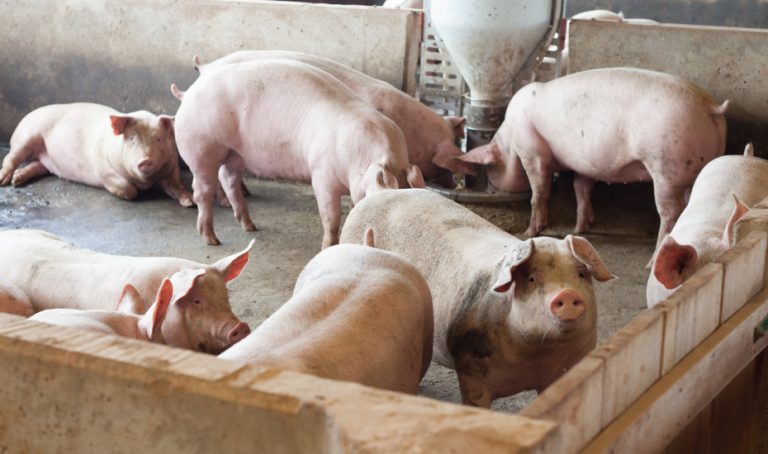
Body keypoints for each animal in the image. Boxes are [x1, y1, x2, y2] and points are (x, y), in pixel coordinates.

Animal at [0, 103, 193, 207]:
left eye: (158, 139)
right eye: (131, 138)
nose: (145, 160)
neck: (145, 181)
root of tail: (28, 115)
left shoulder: (172, 166)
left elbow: (176, 185)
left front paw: (189, 201)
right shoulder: (103, 167)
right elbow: (127, 187)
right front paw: (133, 193)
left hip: (45, 159)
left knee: (38, 165)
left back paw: (17, 180)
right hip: (26, 136)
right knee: (11, 157)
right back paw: (5, 181)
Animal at [172, 59, 425, 248]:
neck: (362, 158)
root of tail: (188, 93)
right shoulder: (321, 174)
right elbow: (331, 217)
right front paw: (327, 247)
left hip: (233, 154)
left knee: (229, 180)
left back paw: (250, 226)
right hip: (201, 149)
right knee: (202, 192)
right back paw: (211, 239)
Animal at [339, 188, 615, 407]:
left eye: (581, 274)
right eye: (531, 278)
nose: (566, 293)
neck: (537, 356)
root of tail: (381, 192)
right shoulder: (472, 373)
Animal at [454, 68, 729, 249]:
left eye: (490, 168)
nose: (490, 188)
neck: (510, 139)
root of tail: (710, 107)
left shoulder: (533, 152)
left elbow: (539, 192)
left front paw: (529, 232)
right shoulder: (582, 165)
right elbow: (582, 190)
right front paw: (580, 229)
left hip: (665, 169)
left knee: (670, 213)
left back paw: (652, 261)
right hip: (699, 167)